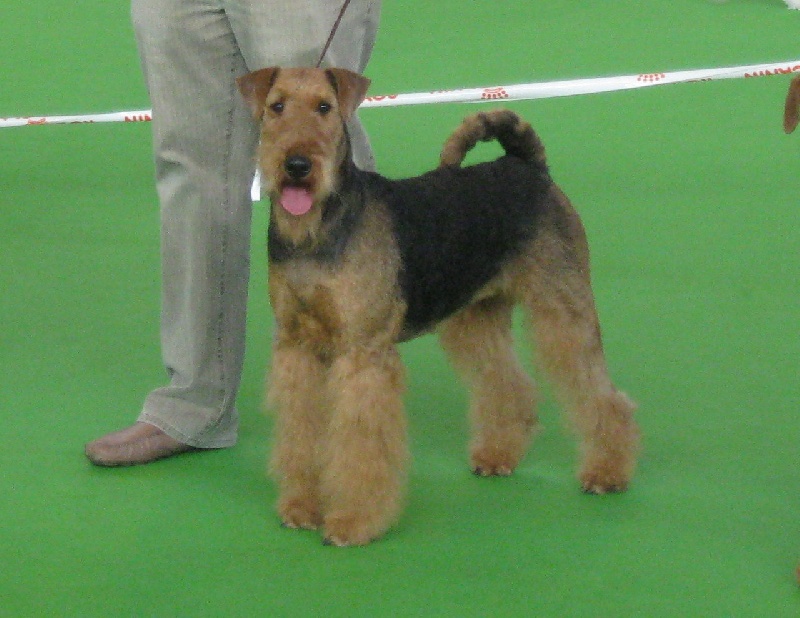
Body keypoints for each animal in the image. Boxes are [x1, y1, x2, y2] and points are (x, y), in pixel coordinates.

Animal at [237, 67, 639, 546]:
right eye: (276, 106)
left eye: (324, 107)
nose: (297, 166)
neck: (316, 232)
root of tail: (527, 166)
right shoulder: (298, 347)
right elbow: (301, 433)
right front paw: (301, 507)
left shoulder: (363, 353)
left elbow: (360, 444)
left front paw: (353, 521)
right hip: (476, 315)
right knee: (508, 385)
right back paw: (497, 455)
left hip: (561, 307)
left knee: (602, 395)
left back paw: (607, 472)